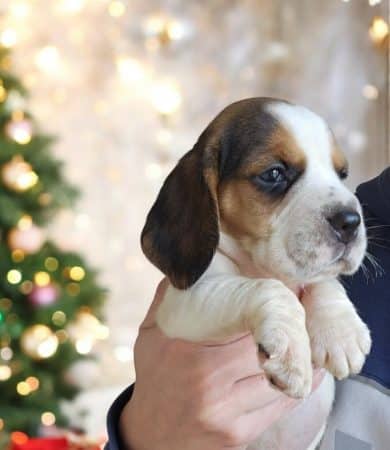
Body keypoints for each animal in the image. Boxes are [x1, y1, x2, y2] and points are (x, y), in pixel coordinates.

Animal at [141, 99, 372, 450]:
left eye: (342, 173)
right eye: (274, 173)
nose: (350, 221)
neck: (257, 264)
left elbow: (324, 281)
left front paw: (341, 332)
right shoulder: (183, 304)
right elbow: (267, 289)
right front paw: (290, 348)